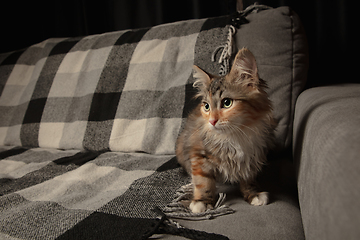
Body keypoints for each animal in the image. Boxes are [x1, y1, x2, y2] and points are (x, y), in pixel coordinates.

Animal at [176, 47, 272, 213]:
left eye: (227, 103)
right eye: (207, 106)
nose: (212, 121)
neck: (233, 136)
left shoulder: (252, 154)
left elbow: (248, 178)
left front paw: (253, 194)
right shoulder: (198, 154)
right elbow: (203, 181)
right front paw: (202, 202)